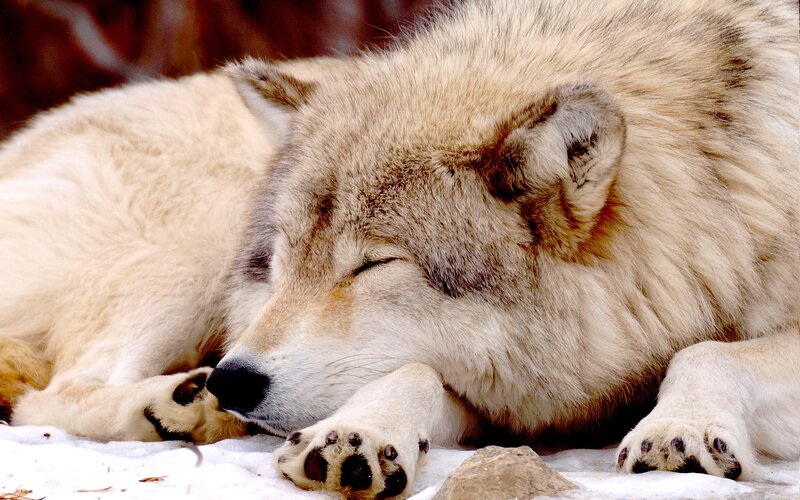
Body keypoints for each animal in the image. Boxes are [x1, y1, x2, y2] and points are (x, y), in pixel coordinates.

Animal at [202, 0, 797, 497]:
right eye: (286, 259)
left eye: (373, 264)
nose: (229, 381)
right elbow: (415, 373)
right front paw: (356, 432)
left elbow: (704, 351)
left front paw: (680, 427)